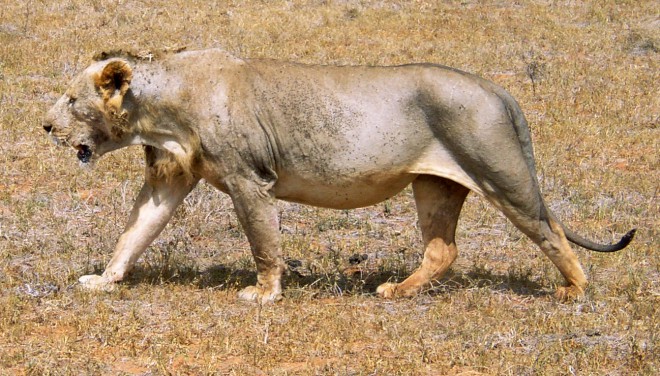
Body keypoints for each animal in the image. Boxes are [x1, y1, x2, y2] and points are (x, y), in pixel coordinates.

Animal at [42, 48, 636, 304]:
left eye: (71, 99)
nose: (45, 125)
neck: (160, 112)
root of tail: (497, 88)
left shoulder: (249, 179)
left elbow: (264, 244)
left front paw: (264, 295)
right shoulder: (168, 178)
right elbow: (134, 233)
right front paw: (104, 280)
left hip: (500, 172)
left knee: (549, 230)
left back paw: (573, 290)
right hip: (435, 184)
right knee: (442, 250)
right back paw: (395, 291)